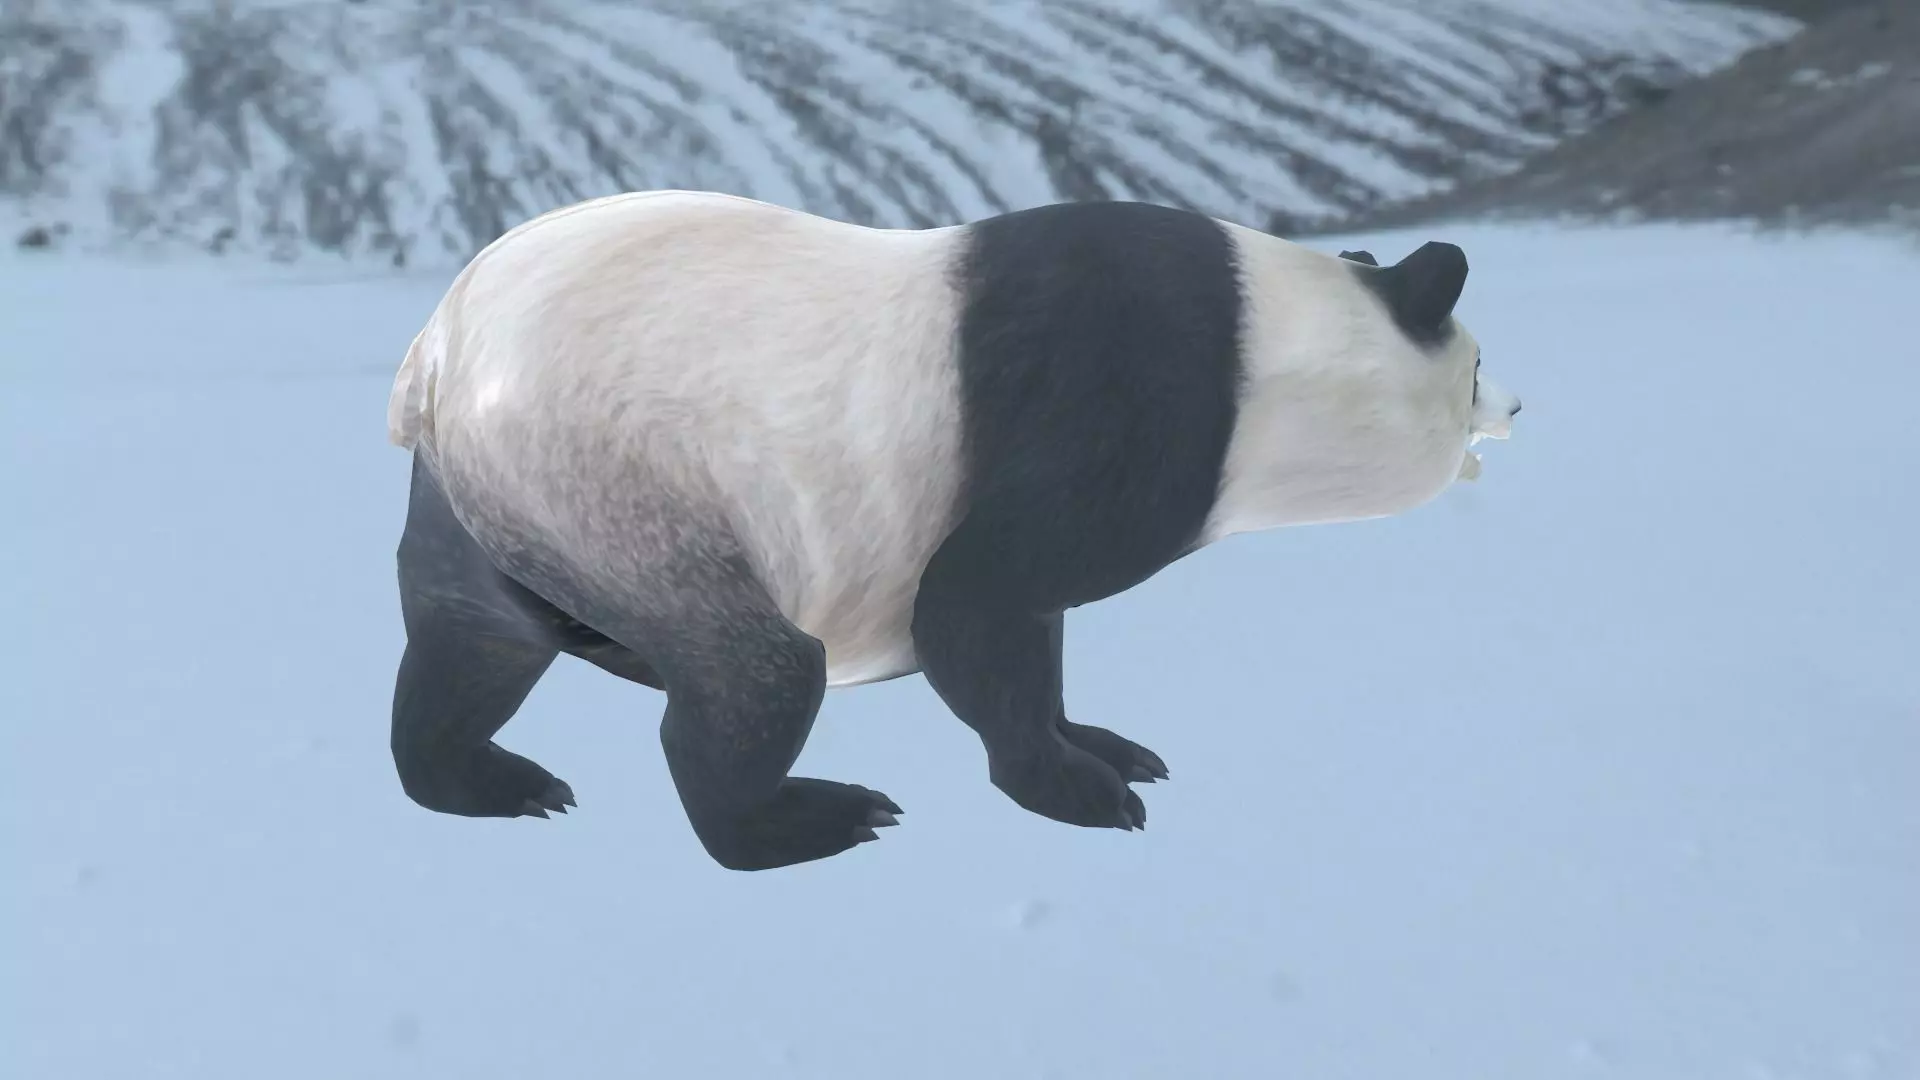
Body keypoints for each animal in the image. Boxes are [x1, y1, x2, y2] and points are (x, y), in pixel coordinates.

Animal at [384, 190, 1521, 872]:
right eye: (1471, 368)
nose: (1515, 405)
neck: (1266, 339)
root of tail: (436, 354)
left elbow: (1031, 629)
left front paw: (1102, 744)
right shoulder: (1122, 397)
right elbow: (976, 603)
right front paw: (1080, 790)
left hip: (497, 492)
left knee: (474, 640)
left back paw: (485, 782)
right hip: (625, 476)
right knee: (754, 666)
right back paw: (808, 817)